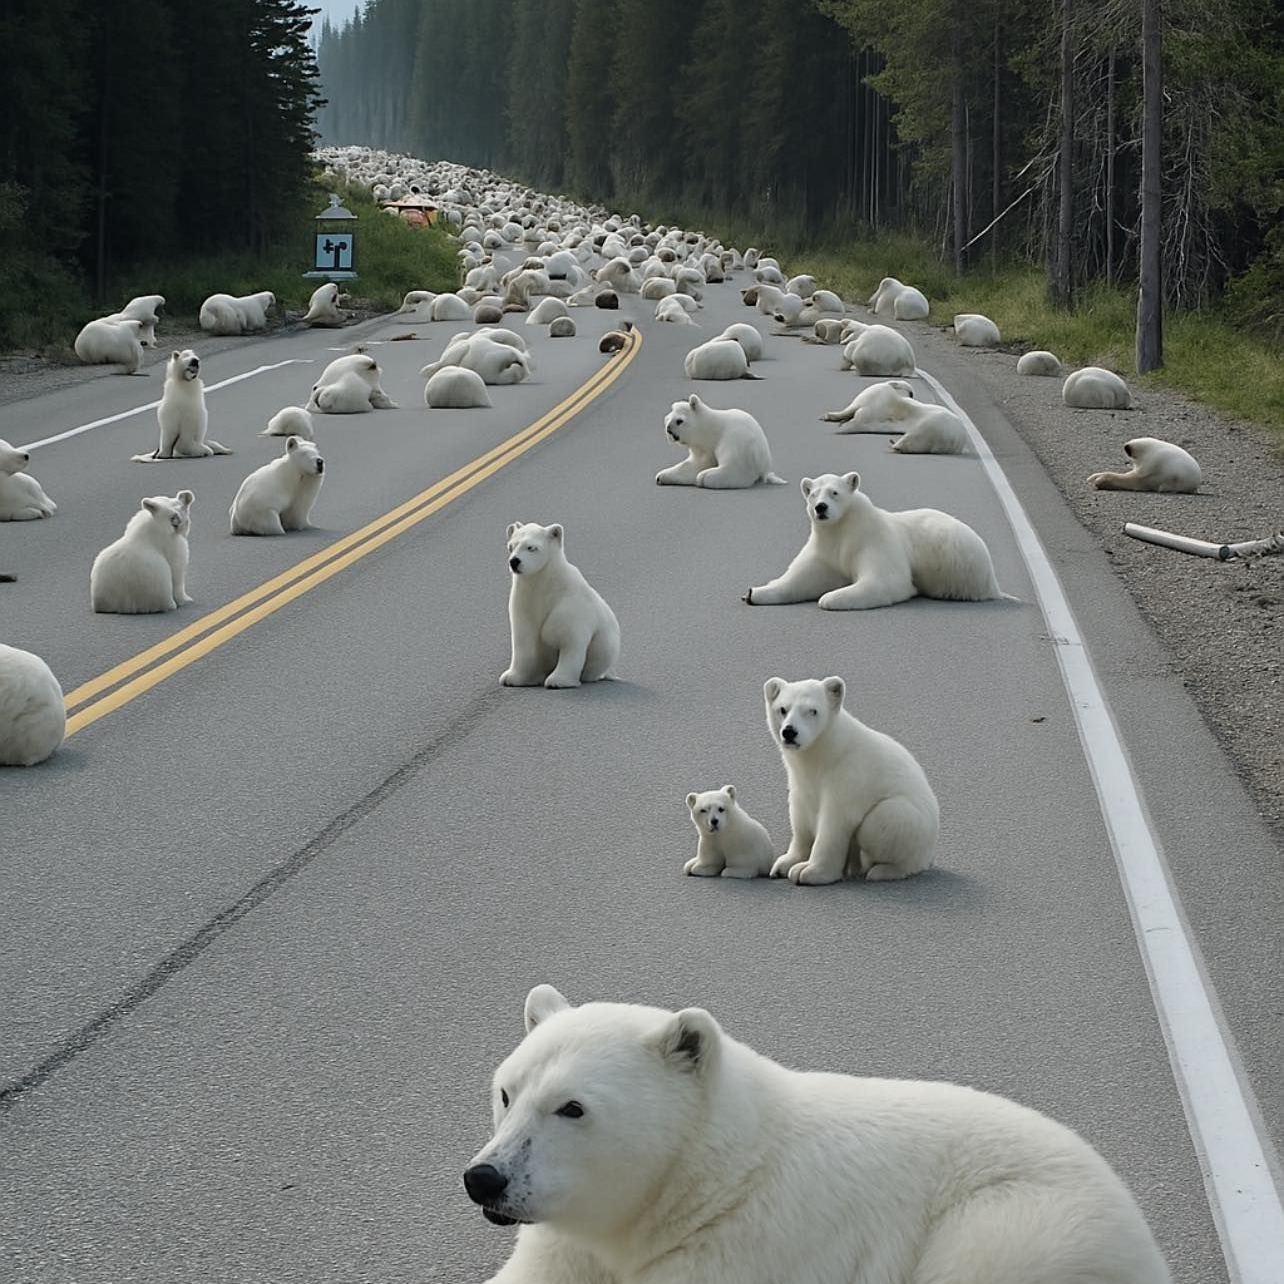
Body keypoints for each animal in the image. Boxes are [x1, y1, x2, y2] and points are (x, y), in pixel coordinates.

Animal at [466, 986, 1174, 1284]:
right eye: (507, 1091)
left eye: (572, 1108)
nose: (484, 1177)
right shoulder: (573, 1244)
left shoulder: (740, 1253)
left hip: (1023, 1223)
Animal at [501, 521, 620, 690]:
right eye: (511, 546)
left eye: (531, 547)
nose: (514, 561)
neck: (544, 582)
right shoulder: (523, 600)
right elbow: (523, 640)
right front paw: (512, 677)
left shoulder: (570, 605)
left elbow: (569, 640)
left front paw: (558, 681)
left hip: (605, 643)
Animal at [655, 395, 785, 489]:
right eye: (667, 419)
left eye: (679, 421)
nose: (668, 430)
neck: (709, 428)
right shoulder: (704, 448)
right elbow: (694, 464)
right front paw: (661, 476)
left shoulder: (721, 439)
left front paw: (701, 477)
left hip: (740, 442)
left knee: (735, 468)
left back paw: (705, 477)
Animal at [745, 472, 1011, 610]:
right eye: (812, 494)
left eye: (834, 492)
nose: (821, 508)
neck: (844, 528)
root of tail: (992, 581)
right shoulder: (827, 550)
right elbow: (799, 579)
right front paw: (754, 592)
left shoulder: (873, 541)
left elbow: (884, 581)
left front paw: (830, 597)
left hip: (955, 564)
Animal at [765, 675, 938, 883]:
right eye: (782, 709)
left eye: (812, 710)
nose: (789, 732)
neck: (826, 751)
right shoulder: (800, 777)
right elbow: (800, 814)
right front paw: (784, 864)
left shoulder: (848, 775)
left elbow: (835, 821)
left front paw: (810, 872)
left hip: (910, 823)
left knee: (883, 821)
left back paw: (881, 871)